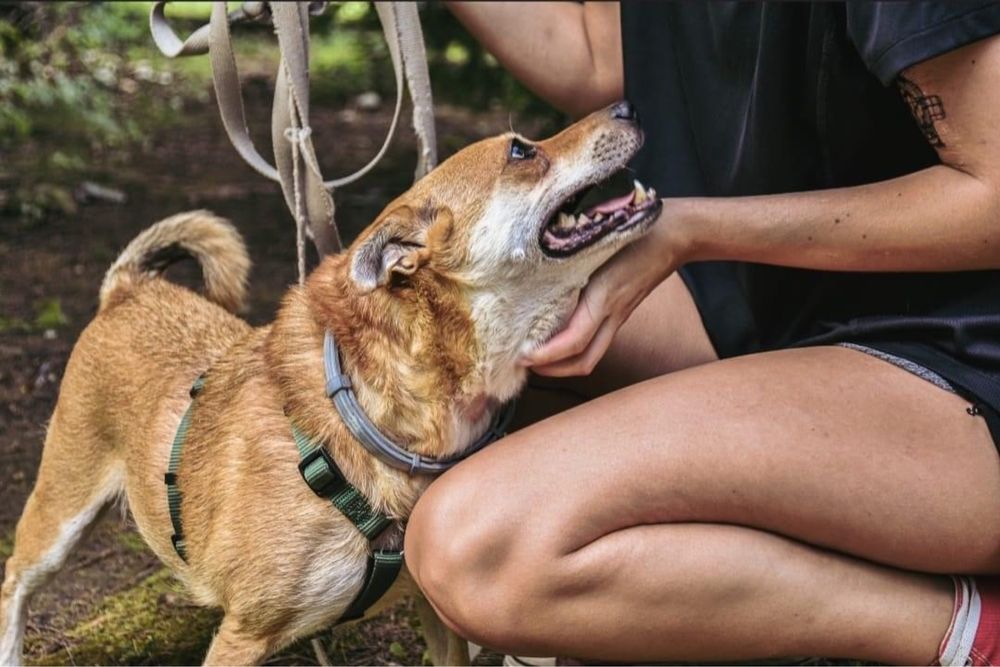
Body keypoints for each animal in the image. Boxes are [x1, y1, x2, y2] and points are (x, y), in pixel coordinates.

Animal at [1, 102, 664, 664]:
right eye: (523, 151)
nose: (629, 105)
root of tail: (129, 288)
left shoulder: (436, 614)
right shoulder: (244, 634)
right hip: (60, 511)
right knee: (14, 579)